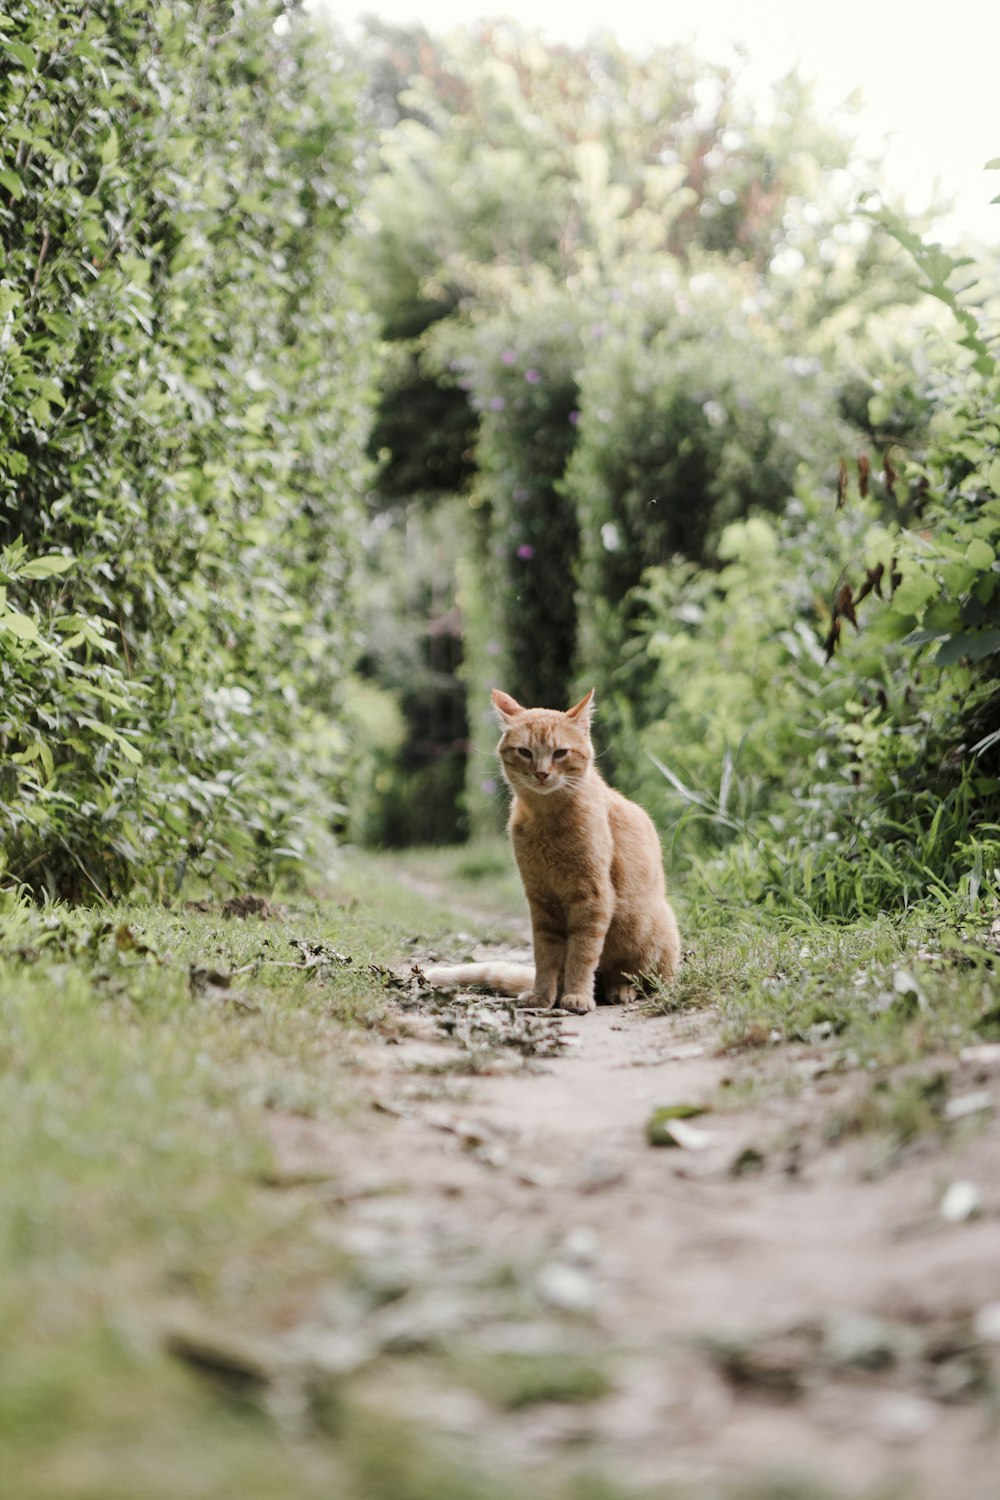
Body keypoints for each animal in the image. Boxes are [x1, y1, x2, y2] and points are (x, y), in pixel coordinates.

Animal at [422, 687, 680, 1014]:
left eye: (560, 753)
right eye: (525, 752)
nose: (542, 773)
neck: (548, 820)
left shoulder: (592, 898)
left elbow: (582, 953)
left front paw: (577, 996)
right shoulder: (541, 899)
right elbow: (546, 956)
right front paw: (543, 996)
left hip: (655, 932)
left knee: (640, 978)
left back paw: (621, 990)